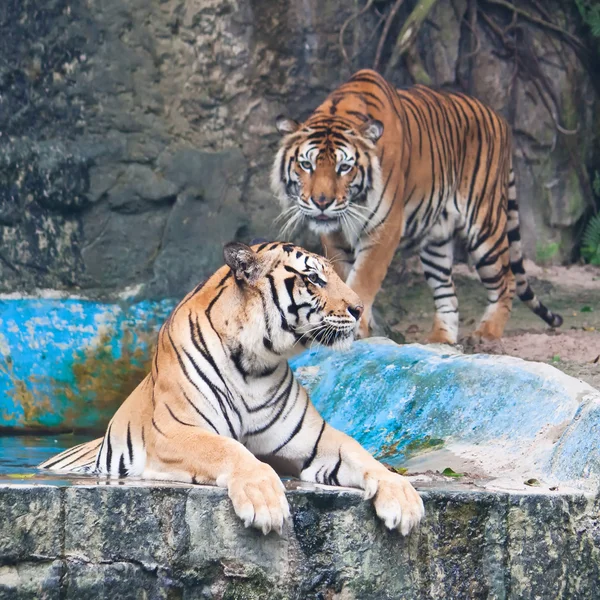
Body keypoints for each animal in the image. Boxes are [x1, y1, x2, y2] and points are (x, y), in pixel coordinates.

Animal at [38, 241, 422, 536]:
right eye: (314, 278)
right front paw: (263, 498)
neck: (256, 363)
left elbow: (361, 453)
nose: (358, 309)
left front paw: (403, 498)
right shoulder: (175, 430)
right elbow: (228, 449)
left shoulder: (314, 438)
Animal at [272, 68, 564, 344]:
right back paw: (440, 340)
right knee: (448, 293)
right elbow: (342, 277)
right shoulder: (335, 235)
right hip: (437, 240)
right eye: (306, 165)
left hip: (485, 228)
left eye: (344, 167)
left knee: (507, 281)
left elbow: (363, 279)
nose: (322, 202)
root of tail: (501, 120)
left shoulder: (385, 228)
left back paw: (486, 334)